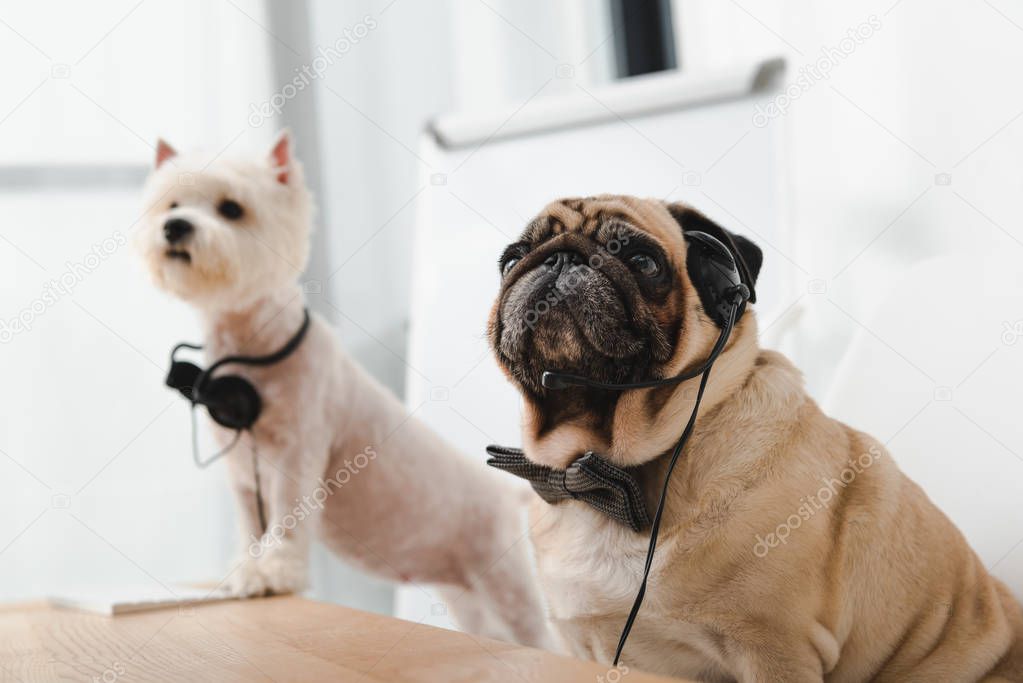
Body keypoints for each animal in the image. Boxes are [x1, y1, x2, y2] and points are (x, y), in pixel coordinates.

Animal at [138, 130, 552, 650]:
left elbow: (284, 520)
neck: (250, 354)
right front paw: (245, 573)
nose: (175, 227)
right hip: (464, 594)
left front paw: (274, 574)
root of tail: (503, 490)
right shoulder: (241, 473)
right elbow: (251, 527)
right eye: (171, 203)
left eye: (231, 208)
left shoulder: (296, 455)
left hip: (506, 584)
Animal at [486, 194, 1023, 678]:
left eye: (643, 261)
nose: (560, 257)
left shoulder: (773, 648)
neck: (604, 473)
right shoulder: (580, 648)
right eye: (511, 260)